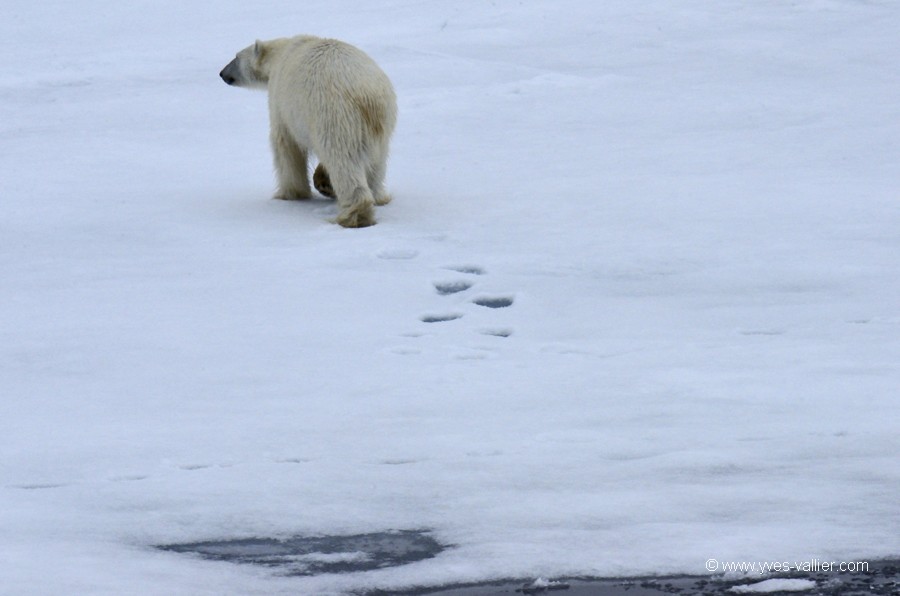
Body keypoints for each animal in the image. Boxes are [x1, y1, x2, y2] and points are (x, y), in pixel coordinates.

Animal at [220, 35, 396, 226]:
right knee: (377, 164)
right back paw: (378, 198)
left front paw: (289, 194)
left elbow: (286, 147)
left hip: (334, 116)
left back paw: (354, 215)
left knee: (342, 160)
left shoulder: (281, 101)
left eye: (236, 57)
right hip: (382, 124)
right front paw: (322, 182)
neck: (280, 54)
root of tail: (367, 96)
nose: (222, 73)